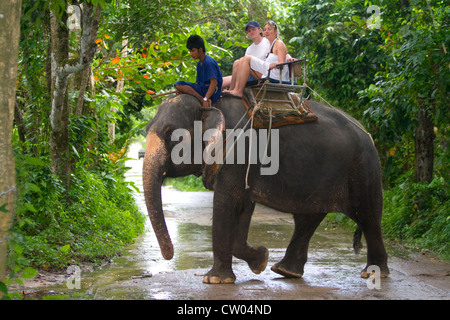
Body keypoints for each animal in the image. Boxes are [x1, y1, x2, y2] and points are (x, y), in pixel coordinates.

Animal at [142, 93, 388, 284]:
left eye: (170, 134)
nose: (169, 255)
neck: (209, 102)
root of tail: (367, 132)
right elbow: (244, 205)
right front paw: (260, 260)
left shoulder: (238, 150)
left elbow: (225, 201)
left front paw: (215, 280)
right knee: (309, 217)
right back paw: (285, 270)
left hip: (363, 169)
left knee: (368, 216)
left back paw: (373, 274)